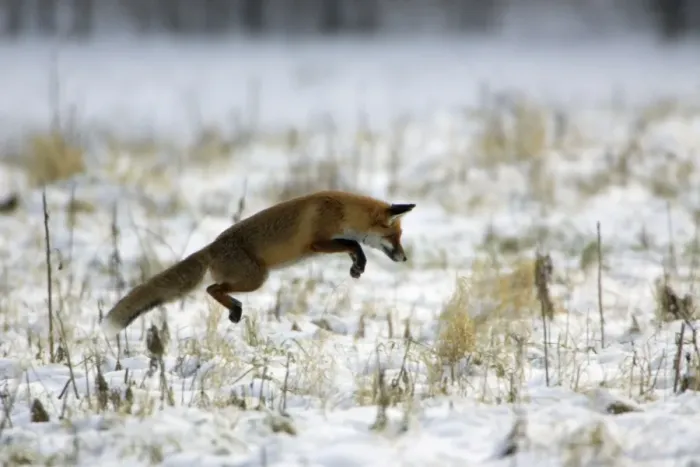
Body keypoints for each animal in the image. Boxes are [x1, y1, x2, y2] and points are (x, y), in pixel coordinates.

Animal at [100, 190, 416, 337]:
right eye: (395, 237)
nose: (404, 258)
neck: (342, 211)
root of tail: (211, 247)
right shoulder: (316, 243)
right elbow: (355, 244)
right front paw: (358, 261)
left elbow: (354, 247)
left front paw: (356, 267)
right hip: (256, 279)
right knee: (212, 289)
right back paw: (235, 309)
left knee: (214, 289)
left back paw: (234, 310)